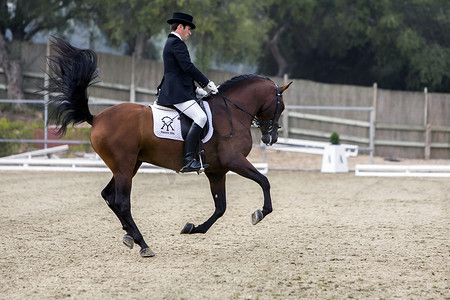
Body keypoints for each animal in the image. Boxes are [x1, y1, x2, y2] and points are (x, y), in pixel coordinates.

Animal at [44, 37, 292, 258]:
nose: (271, 138)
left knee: (108, 195)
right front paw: (260, 213)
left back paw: (129, 236)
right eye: (280, 106)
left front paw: (193, 228)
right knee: (121, 202)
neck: (231, 112)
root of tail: (96, 118)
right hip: (124, 165)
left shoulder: (216, 171)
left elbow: (220, 207)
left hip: (130, 164)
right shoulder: (235, 161)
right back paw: (143, 244)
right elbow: (264, 181)